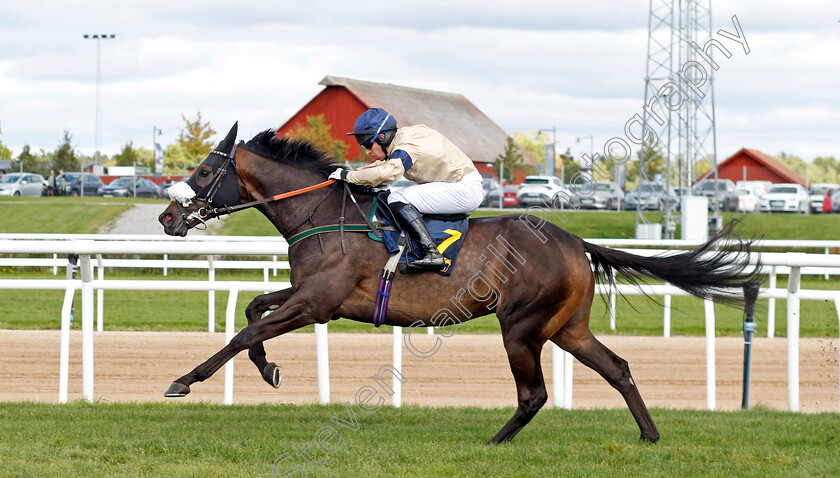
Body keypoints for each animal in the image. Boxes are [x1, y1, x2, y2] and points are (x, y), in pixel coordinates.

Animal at [158, 123, 760, 444]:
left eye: (203, 172)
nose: (166, 218)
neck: (325, 215)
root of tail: (574, 243)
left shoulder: (317, 303)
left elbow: (244, 333)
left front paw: (184, 381)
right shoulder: (313, 299)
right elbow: (253, 311)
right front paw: (270, 370)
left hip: (522, 327)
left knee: (534, 393)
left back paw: (495, 442)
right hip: (568, 327)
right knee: (618, 368)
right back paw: (649, 434)